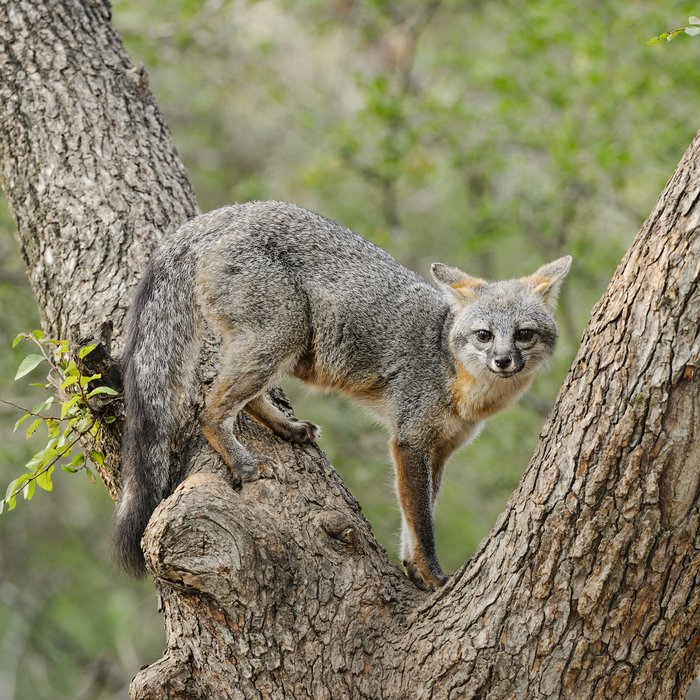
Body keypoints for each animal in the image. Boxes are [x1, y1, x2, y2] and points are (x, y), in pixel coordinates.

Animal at [112, 200, 571, 591]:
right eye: (484, 335)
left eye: (523, 335)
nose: (504, 361)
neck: (451, 367)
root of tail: (225, 213)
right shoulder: (409, 441)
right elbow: (422, 522)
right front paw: (434, 575)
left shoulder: (438, 451)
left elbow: (414, 517)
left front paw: (413, 568)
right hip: (283, 334)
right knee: (209, 407)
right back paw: (241, 459)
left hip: (281, 347)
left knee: (244, 396)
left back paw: (286, 428)